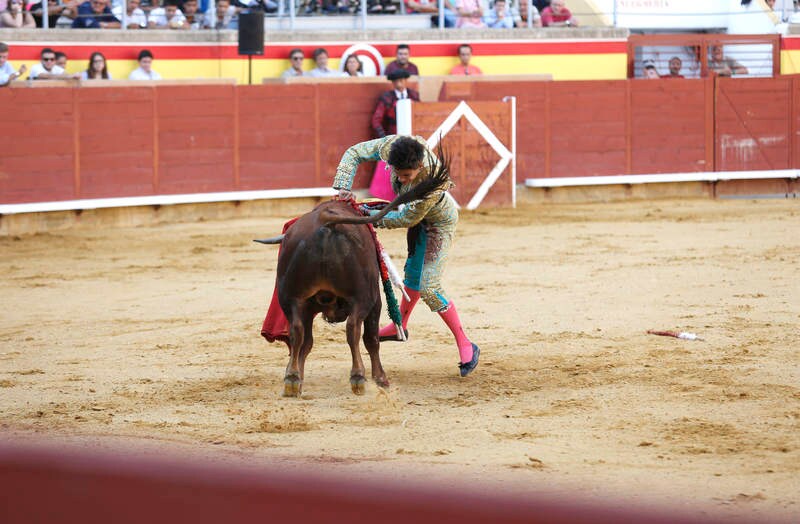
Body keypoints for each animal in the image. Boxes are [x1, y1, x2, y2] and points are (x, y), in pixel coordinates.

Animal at [256, 156, 450, 398]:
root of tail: (324, 221)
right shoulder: (375, 301)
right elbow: (370, 339)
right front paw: (380, 379)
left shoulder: (306, 305)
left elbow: (306, 342)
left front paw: (297, 377)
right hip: (364, 296)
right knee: (353, 329)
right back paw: (358, 377)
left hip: (291, 297)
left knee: (297, 331)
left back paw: (292, 379)